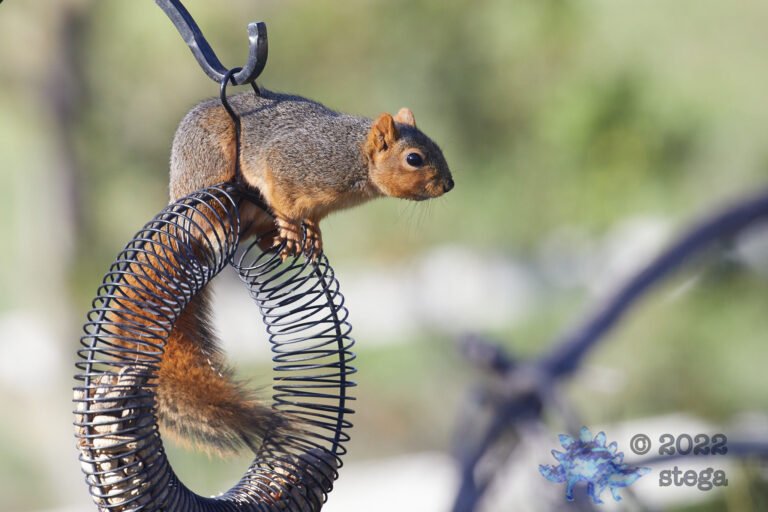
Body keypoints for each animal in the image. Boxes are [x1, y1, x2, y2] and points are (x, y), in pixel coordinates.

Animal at [155, 88, 454, 455]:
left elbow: (312, 218)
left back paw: (272, 238)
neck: (356, 160)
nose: (449, 184)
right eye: (414, 158)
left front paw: (312, 234)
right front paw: (292, 229)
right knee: (210, 206)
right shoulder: (290, 164)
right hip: (210, 159)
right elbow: (283, 199)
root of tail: (177, 194)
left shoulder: (319, 204)